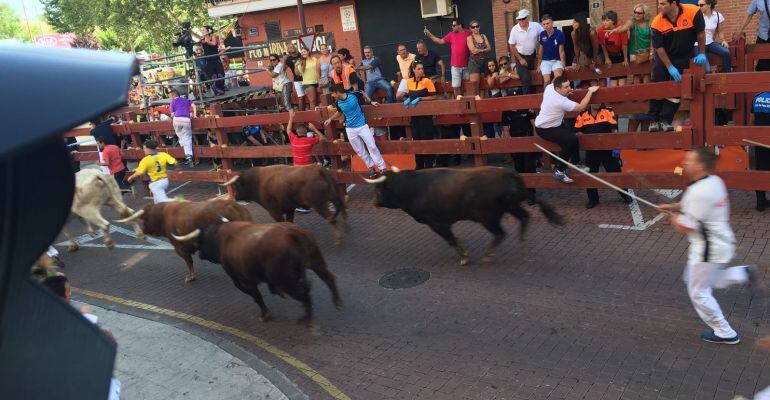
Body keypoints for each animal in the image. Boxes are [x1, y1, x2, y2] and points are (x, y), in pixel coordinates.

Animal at [115, 198, 250, 282]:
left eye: (145, 219)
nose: (143, 232)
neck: (163, 216)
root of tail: (233, 206)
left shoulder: (179, 247)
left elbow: (189, 262)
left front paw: (190, 277)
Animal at [174, 220, 344, 330]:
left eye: (200, 240)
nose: (199, 253)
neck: (221, 239)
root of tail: (291, 233)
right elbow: (267, 291)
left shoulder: (241, 280)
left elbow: (256, 296)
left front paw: (265, 315)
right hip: (315, 261)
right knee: (328, 278)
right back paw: (337, 303)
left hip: (287, 279)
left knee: (304, 294)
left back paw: (307, 320)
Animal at [366, 166, 564, 266]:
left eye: (379, 188)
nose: (373, 201)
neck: (412, 188)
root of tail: (508, 174)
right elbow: (453, 239)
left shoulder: (437, 223)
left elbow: (451, 240)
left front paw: (464, 257)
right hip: (511, 206)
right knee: (524, 217)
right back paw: (522, 239)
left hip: (489, 217)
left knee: (500, 233)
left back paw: (488, 254)